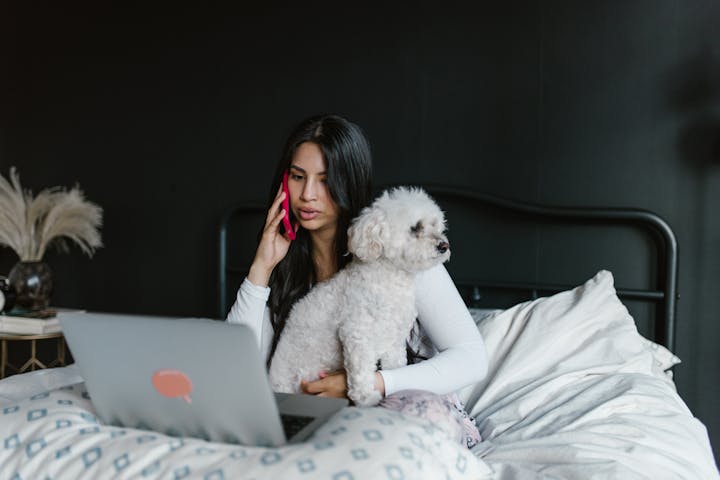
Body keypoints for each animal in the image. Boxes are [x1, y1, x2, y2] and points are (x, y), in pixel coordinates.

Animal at [268, 187, 450, 404]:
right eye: (415, 228)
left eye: (435, 225)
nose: (444, 245)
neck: (391, 278)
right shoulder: (357, 334)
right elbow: (362, 372)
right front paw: (366, 398)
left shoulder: (393, 340)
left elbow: (396, 365)